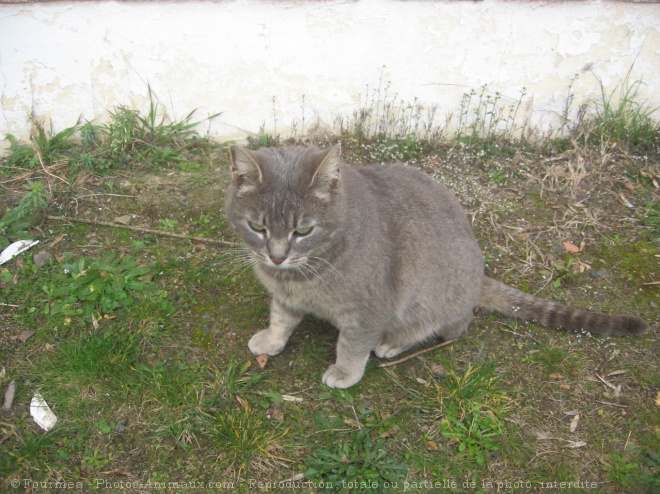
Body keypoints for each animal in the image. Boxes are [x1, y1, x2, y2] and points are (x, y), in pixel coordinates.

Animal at [224, 144, 648, 390]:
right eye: (258, 227)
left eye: (303, 230)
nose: (276, 256)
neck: (297, 274)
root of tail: (479, 276)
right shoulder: (286, 296)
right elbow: (281, 318)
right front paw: (271, 340)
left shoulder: (368, 310)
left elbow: (352, 344)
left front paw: (345, 372)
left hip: (431, 302)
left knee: (450, 327)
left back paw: (394, 342)